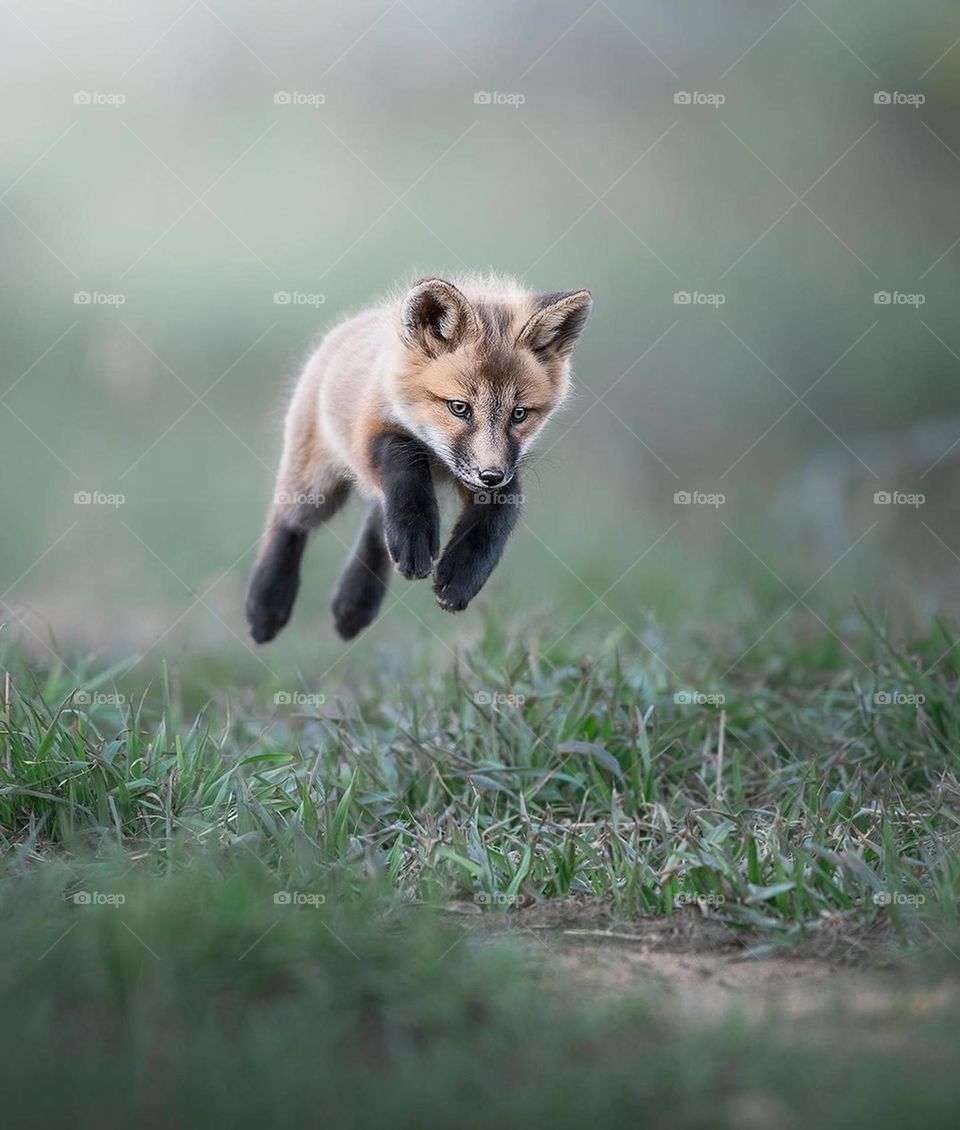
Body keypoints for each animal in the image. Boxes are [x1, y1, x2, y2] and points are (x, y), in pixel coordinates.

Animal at [245, 274, 592, 643]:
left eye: (519, 414)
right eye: (459, 407)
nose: (490, 476)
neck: (437, 458)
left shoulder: (489, 468)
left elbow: (503, 507)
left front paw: (461, 574)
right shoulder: (373, 430)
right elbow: (404, 462)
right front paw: (416, 534)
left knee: (376, 524)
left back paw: (354, 602)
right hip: (316, 486)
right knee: (288, 518)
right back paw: (267, 604)